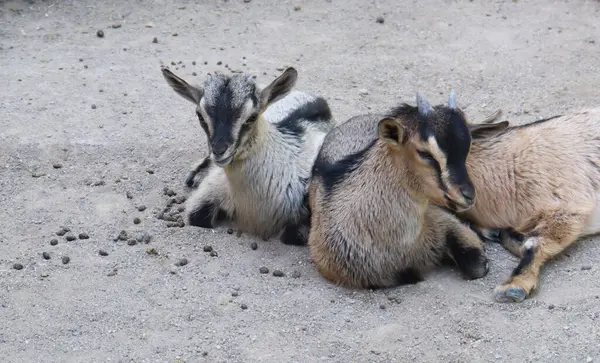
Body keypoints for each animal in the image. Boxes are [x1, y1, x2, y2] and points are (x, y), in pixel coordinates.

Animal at [162, 67, 336, 246]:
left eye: (252, 117)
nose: (219, 151)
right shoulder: (210, 191)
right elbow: (196, 217)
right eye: (200, 115)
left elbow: (293, 236)